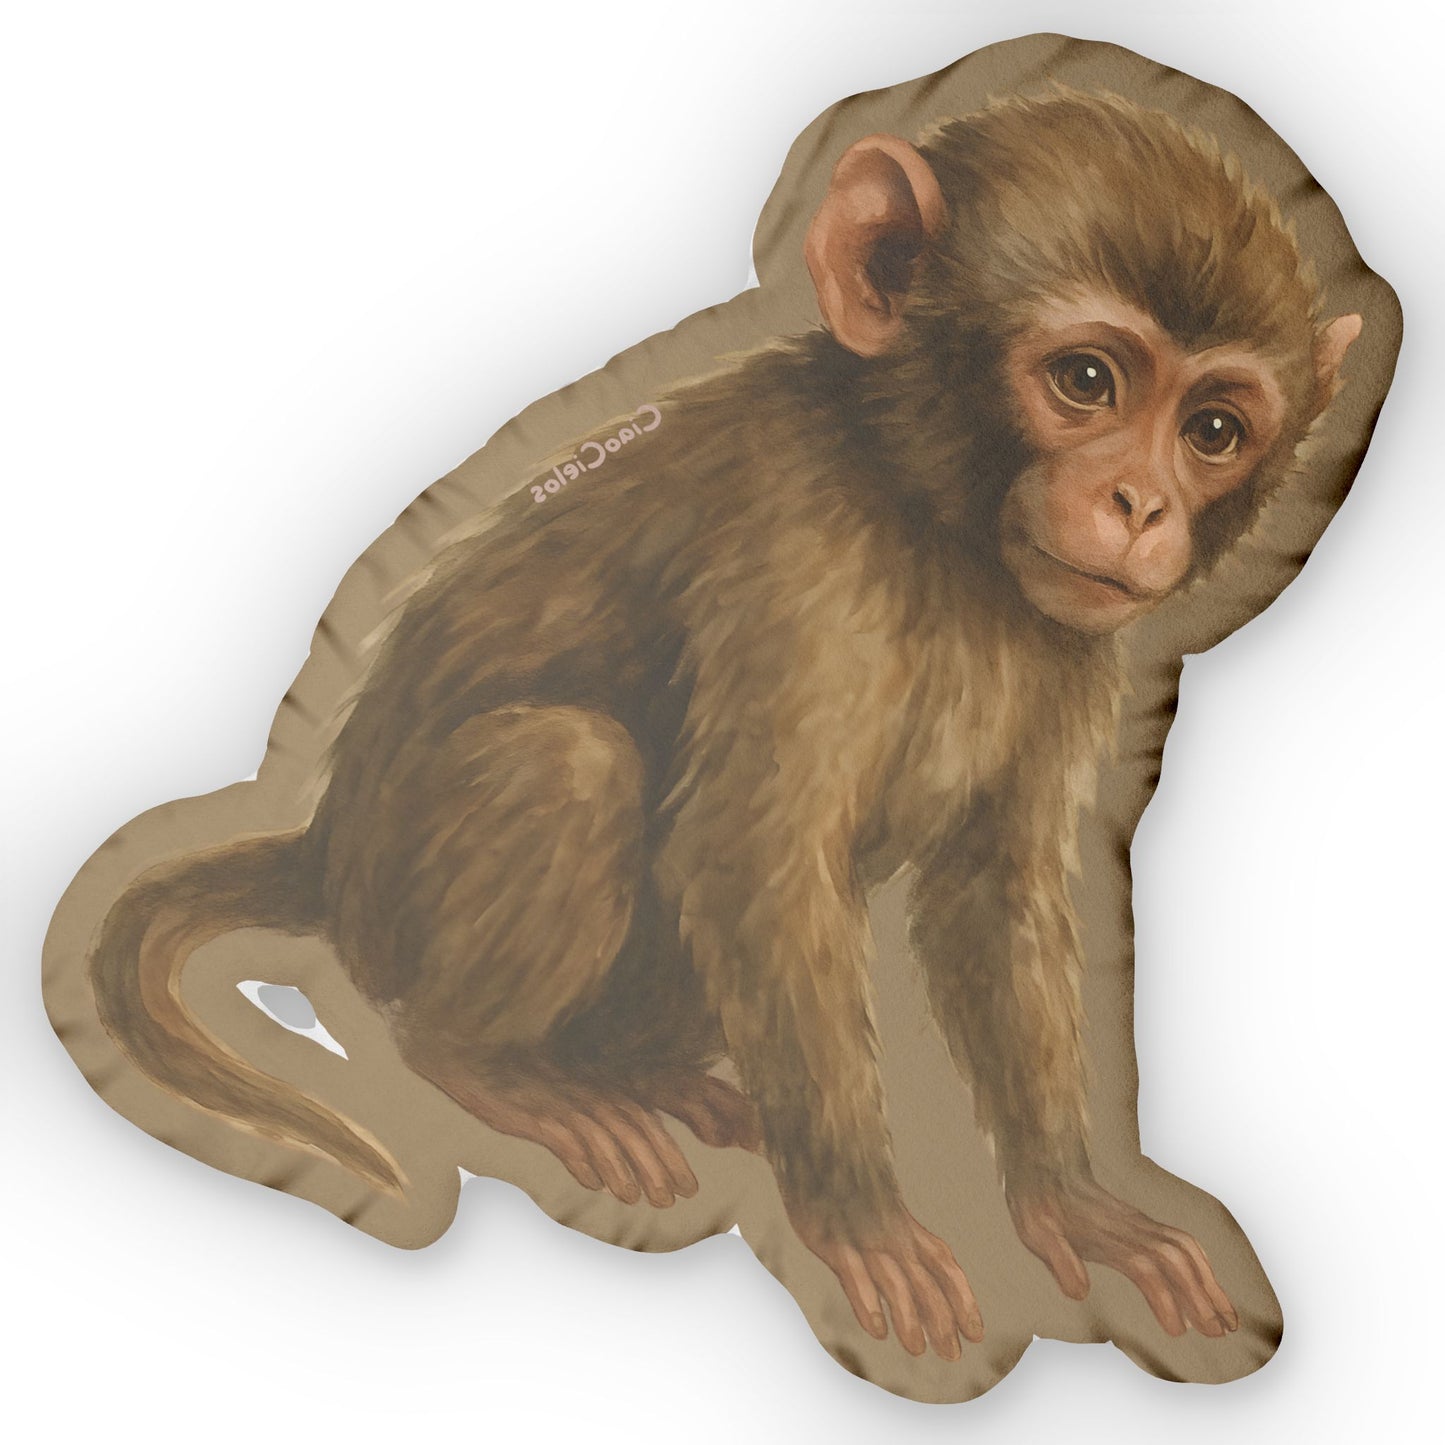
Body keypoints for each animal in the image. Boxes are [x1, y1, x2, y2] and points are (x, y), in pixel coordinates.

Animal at [78, 91, 1361, 1364]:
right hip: (393, 902)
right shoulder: (798, 551)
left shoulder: (1070, 642)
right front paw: (861, 1217)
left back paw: (636, 1069)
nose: (1139, 504)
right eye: (1087, 378)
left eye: (1209, 430)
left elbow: (988, 887)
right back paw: (490, 1066)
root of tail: (324, 847)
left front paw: (1066, 1198)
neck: (926, 512)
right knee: (569, 764)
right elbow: (757, 861)